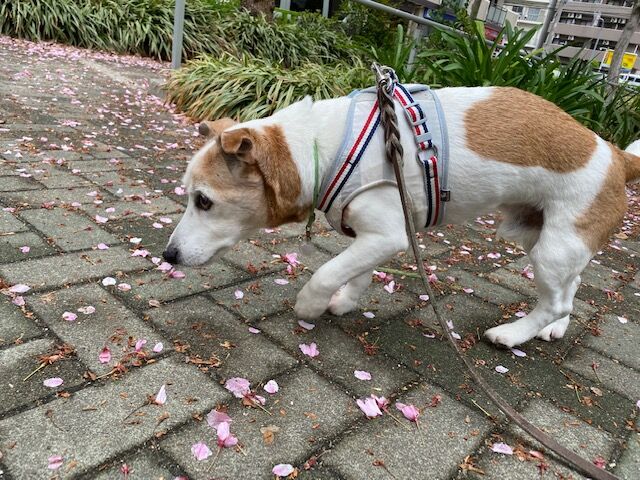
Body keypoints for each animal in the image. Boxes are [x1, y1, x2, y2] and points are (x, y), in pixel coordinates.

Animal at [164, 86, 640, 348]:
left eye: (203, 201)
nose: (167, 256)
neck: (319, 148)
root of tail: (616, 156)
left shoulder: (387, 235)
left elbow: (326, 272)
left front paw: (310, 305)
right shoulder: (377, 235)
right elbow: (353, 273)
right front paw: (345, 302)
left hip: (555, 248)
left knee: (557, 298)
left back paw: (512, 334)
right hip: (539, 234)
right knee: (570, 289)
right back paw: (555, 329)